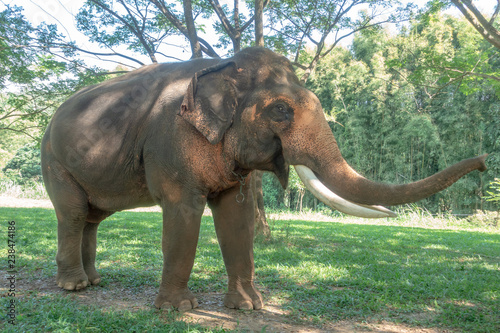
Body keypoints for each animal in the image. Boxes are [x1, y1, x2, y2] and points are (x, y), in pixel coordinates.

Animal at [41, 46, 486, 312]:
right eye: (280, 111)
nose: (484, 161)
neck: (222, 65)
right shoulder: (170, 142)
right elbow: (183, 213)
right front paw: (178, 310)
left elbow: (235, 218)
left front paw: (248, 307)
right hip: (53, 161)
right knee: (73, 213)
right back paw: (74, 287)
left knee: (92, 217)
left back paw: (94, 281)